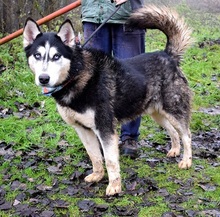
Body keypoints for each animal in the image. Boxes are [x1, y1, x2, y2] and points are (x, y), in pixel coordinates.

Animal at [23, 5, 192, 196]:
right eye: (37, 55)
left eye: (56, 56)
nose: (43, 79)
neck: (77, 76)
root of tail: (167, 55)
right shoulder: (82, 129)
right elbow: (95, 156)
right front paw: (97, 175)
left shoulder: (104, 128)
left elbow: (110, 160)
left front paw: (114, 187)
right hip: (158, 113)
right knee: (173, 131)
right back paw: (175, 150)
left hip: (174, 110)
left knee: (186, 135)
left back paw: (186, 161)